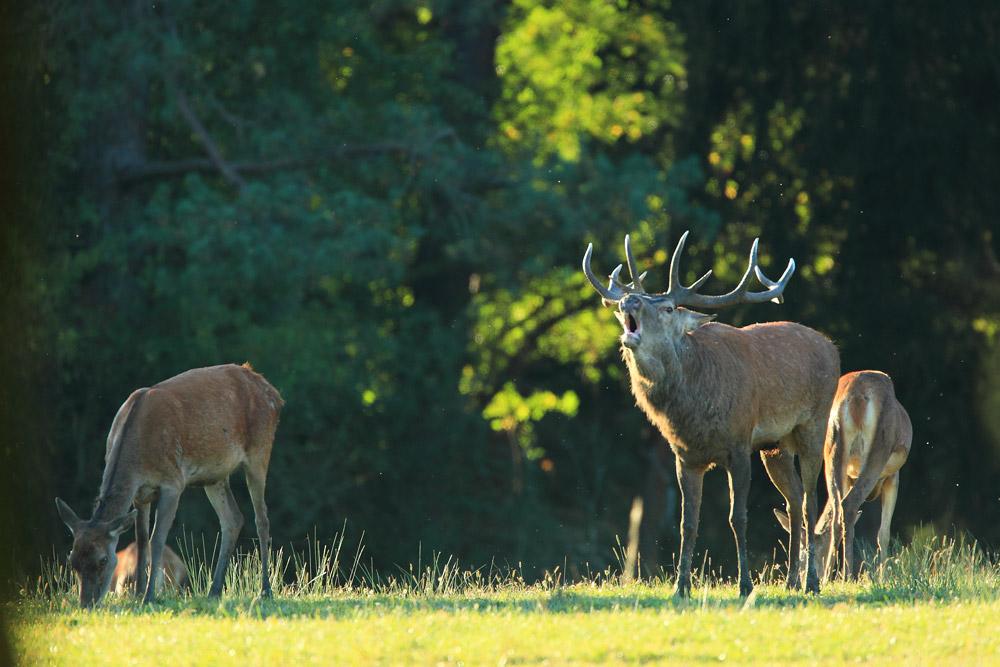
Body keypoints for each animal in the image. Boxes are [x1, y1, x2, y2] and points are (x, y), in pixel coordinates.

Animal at [55, 362, 282, 608]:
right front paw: (138, 593)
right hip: (214, 475)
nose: (87, 603)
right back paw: (214, 591)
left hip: (260, 449)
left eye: (103, 560)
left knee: (262, 519)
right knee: (233, 518)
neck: (137, 455)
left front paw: (149, 596)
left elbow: (157, 539)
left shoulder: (172, 483)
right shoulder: (140, 494)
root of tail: (274, 395)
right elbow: (141, 540)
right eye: (72, 560)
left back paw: (265, 590)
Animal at [584, 232, 840, 596]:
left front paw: (745, 585)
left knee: (810, 500)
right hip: (775, 445)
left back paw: (812, 583)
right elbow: (687, 523)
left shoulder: (739, 444)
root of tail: (831, 346)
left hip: (814, 425)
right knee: (793, 499)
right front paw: (680, 587)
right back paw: (792, 580)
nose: (628, 301)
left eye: (667, 308)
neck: (694, 412)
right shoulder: (685, 456)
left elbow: (738, 517)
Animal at [772, 370, 916, 580]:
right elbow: (884, 532)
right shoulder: (892, 476)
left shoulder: (849, 475)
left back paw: (829, 578)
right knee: (849, 504)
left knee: (838, 512)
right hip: (879, 449)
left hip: (831, 449)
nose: (803, 572)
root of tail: (856, 396)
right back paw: (848, 575)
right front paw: (884, 577)